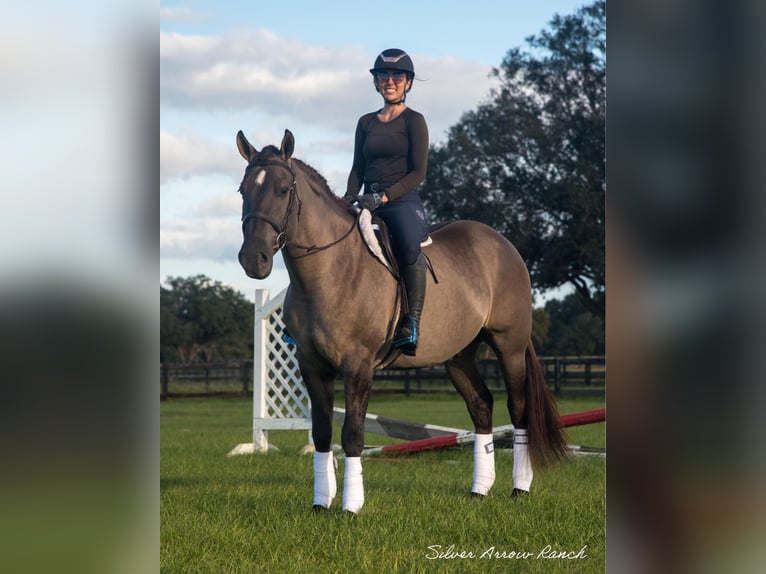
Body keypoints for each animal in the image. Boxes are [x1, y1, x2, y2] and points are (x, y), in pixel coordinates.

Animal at [237, 129, 568, 512]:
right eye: (243, 190)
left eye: (282, 190)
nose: (253, 259)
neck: (331, 270)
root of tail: (503, 244)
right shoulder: (312, 365)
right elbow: (322, 434)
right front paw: (321, 503)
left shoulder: (358, 364)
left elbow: (352, 434)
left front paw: (351, 507)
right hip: (458, 357)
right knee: (482, 406)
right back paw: (479, 490)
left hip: (509, 347)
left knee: (518, 410)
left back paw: (520, 488)